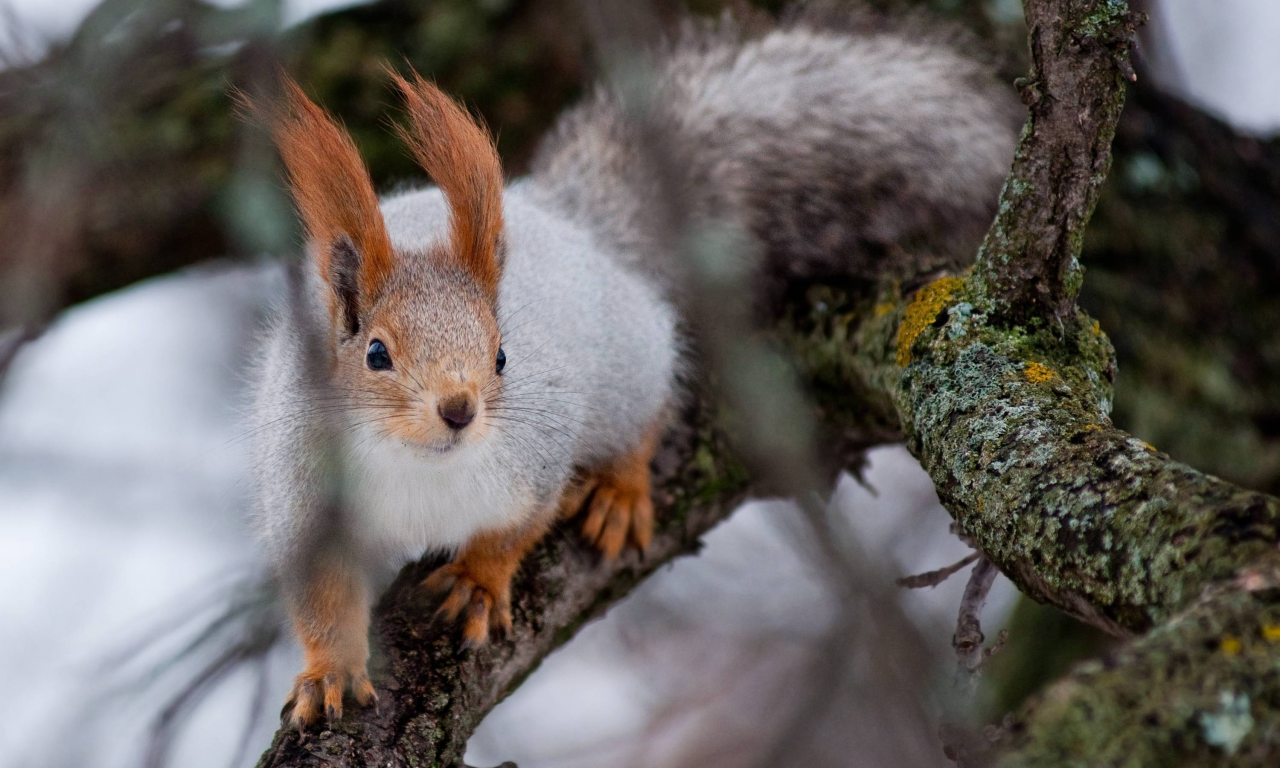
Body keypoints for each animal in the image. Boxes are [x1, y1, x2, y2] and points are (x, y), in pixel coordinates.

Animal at [241, 6, 1018, 727]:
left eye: (502, 353)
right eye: (376, 353)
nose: (459, 410)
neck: (418, 465)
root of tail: (570, 221)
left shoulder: (536, 455)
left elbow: (516, 528)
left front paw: (481, 582)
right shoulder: (305, 492)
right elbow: (322, 598)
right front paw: (330, 672)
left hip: (629, 366)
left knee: (647, 409)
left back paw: (620, 489)